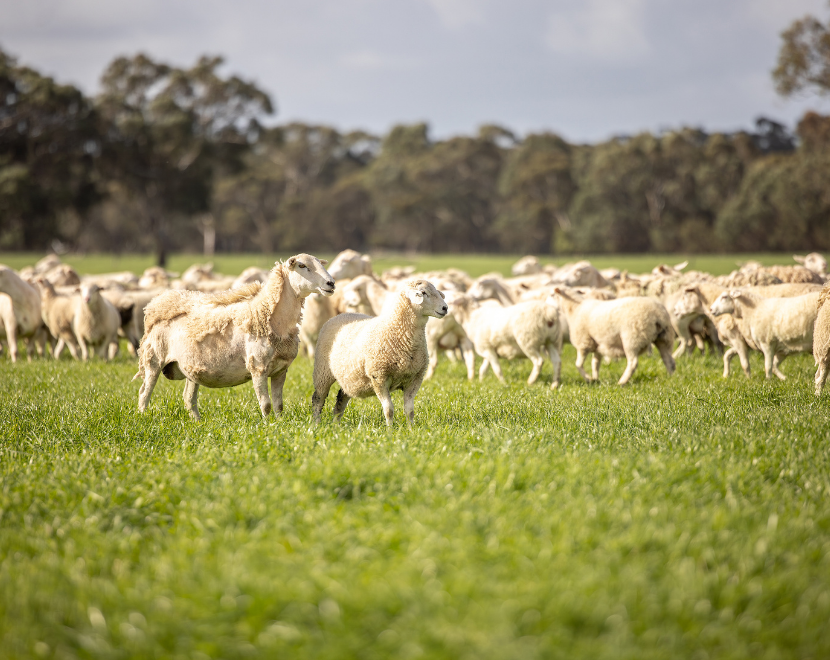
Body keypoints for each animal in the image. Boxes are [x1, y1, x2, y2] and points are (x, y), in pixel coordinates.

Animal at [136, 254, 334, 420]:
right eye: (302, 265)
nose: (331, 283)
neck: (266, 315)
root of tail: (156, 307)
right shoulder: (258, 367)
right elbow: (266, 404)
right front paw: (268, 426)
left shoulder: (280, 370)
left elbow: (279, 405)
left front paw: (279, 424)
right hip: (154, 359)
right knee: (144, 392)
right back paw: (143, 417)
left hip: (191, 367)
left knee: (188, 398)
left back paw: (197, 422)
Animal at [312, 280, 446, 426]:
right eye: (423, 293)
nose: (445, 308)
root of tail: (340, 315)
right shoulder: (379, 377)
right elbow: (389, 410)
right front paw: (390, 430)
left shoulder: (415, 378)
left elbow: (409, 410)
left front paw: (411, 429)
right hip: (322, 372)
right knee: (318, 399)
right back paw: (316, 424)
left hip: (349, 378)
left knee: (341, 398)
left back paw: (336, 424)